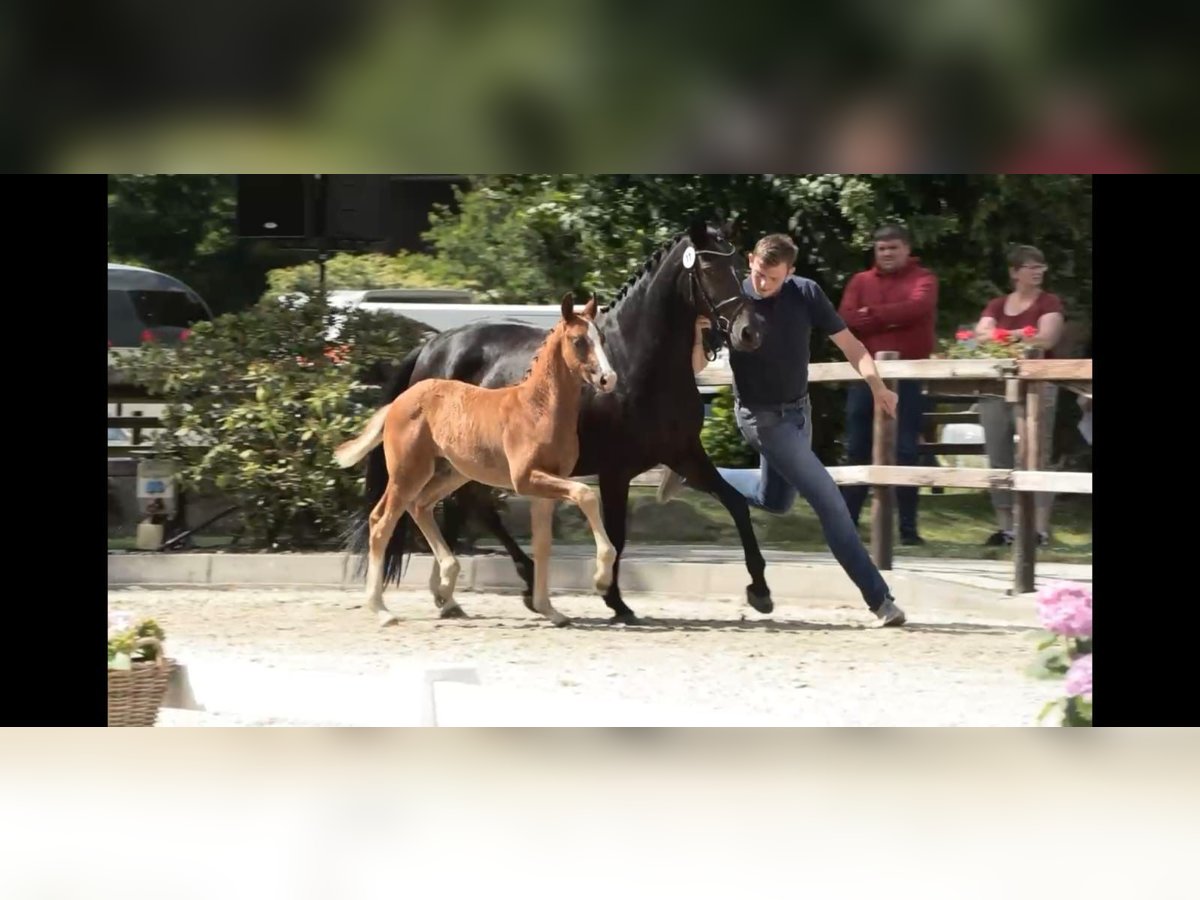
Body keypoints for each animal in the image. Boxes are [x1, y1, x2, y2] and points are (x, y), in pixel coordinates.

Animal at [336, 296, 619, 628]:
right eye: (578, 341)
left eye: (601, 338)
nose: (608, 379)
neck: (538, 408)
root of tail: (400, 401)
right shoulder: (526, 479)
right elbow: (586, 495)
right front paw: (601, 579)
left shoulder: (544, 487)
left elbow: (543, 544)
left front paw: (549, 609)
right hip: (409, 472)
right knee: (382, 522)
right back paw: (382, 609)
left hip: (451, 473)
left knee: (420, 506)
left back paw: (446, 588)